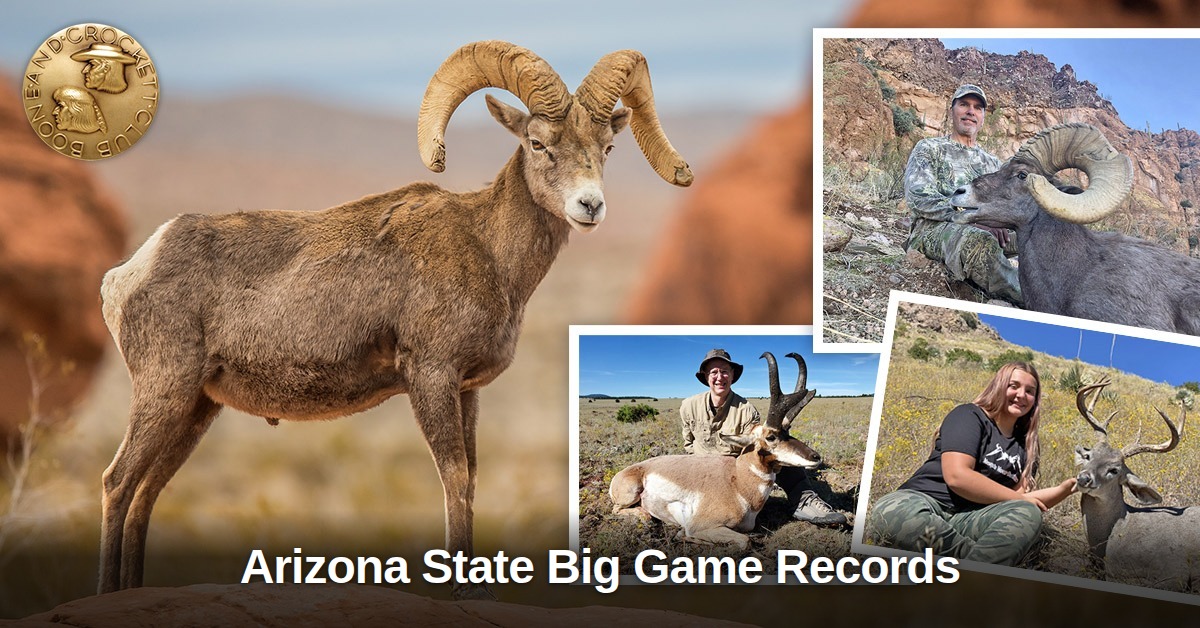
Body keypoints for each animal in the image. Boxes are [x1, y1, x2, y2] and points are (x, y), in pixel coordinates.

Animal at [97, 40, 691, 599]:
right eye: (538, 143)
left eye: (607, 148)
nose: (589, 206)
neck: (488, 251)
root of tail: (129, 272)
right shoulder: (429, 377)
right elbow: (453, 476)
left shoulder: (466, 390)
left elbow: (471, 478)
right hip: (165, 392)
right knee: (118, 483)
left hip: (196, 408)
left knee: (146, 492)